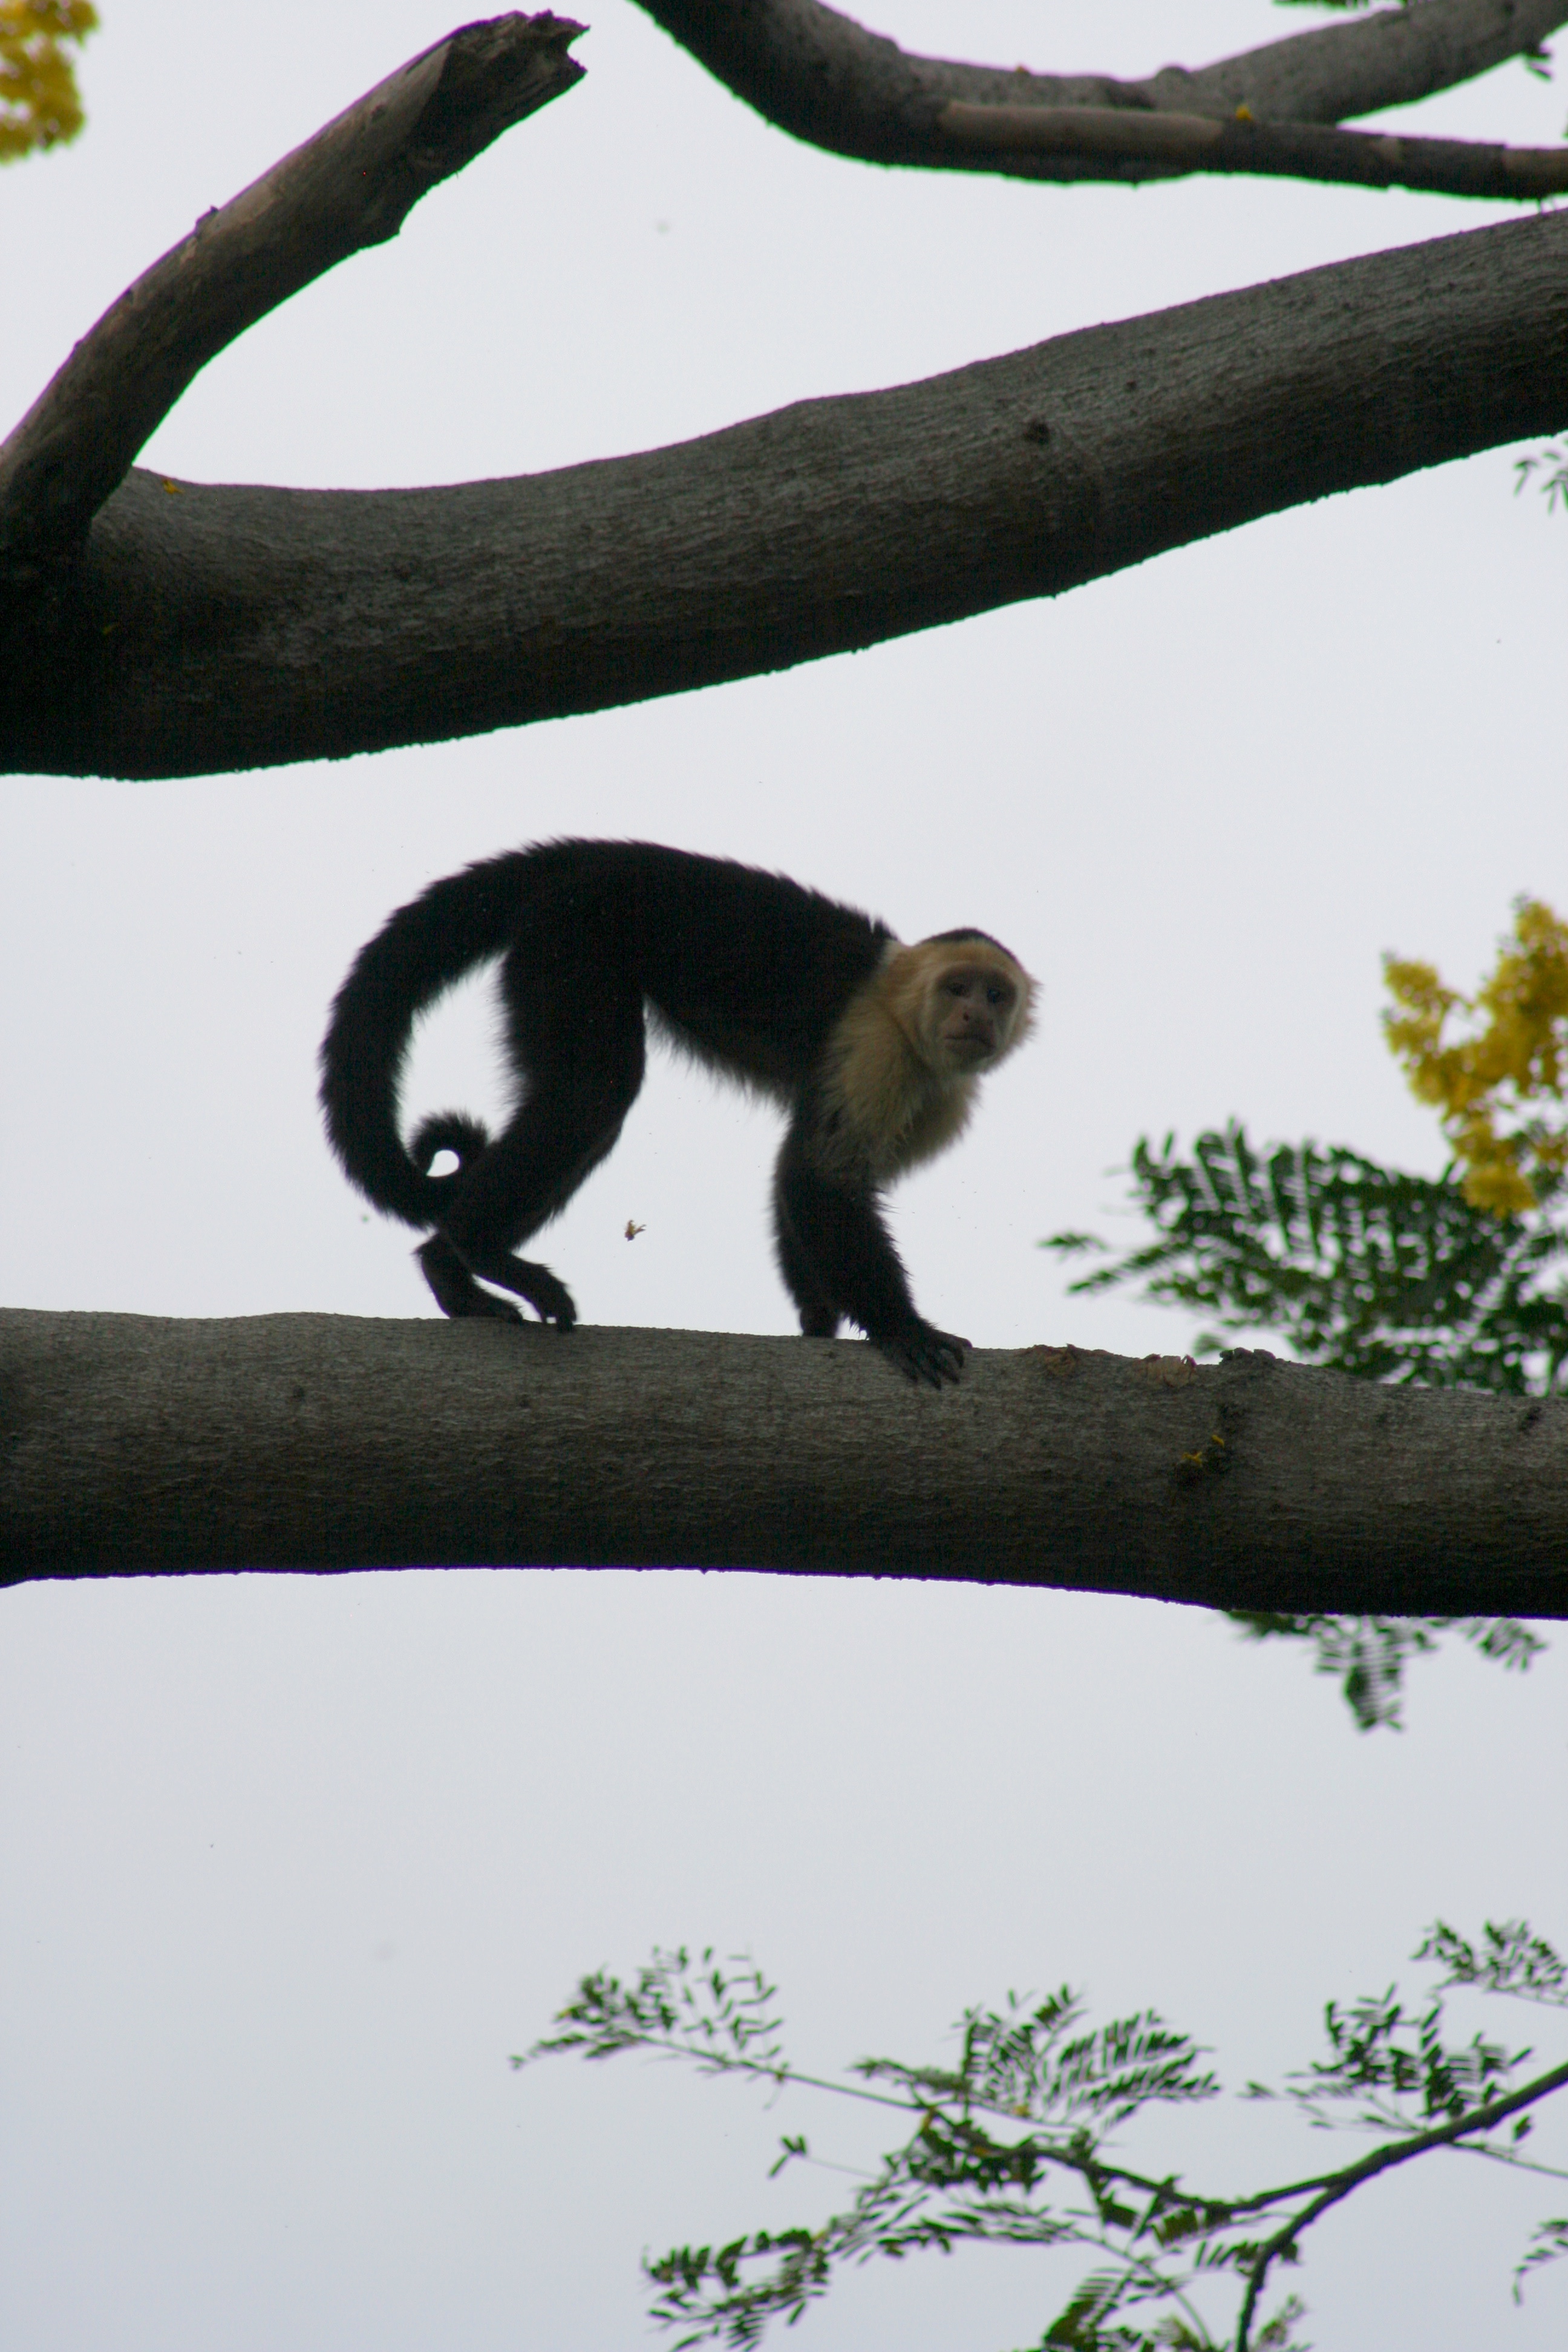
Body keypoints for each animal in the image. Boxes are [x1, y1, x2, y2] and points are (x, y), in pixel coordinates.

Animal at [319, 840, 1035, 1385]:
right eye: (957, 988)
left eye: (995, 996)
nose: (975, 1015)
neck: (905, 1016)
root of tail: (594, 855)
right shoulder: (878, 1046)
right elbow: (820, 1180)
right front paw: (902, 1328)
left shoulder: (940, 1094)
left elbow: (799, 1174)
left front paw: (818, 1326)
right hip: (573, 936)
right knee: (592, 1095)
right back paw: (477, 1249)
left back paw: (446, 1267)